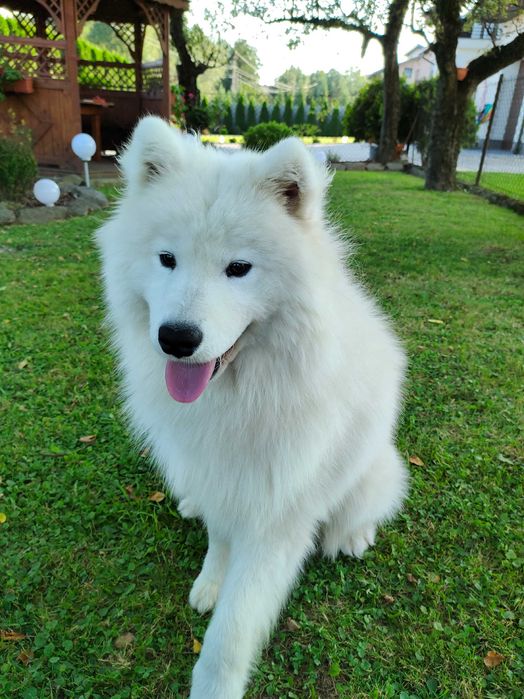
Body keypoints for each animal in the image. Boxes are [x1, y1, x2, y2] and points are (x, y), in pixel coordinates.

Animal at [95, 117, 410, 696]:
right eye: (167, 259)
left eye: (238, 268)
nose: (176, 339)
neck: (243, 392)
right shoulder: (222, 473)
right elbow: (220, 540)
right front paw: (211, 579)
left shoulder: (276, 516)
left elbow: (231, 633)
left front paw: (213, 683)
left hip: (371, 470)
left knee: (367, 504)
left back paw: (353, 534)